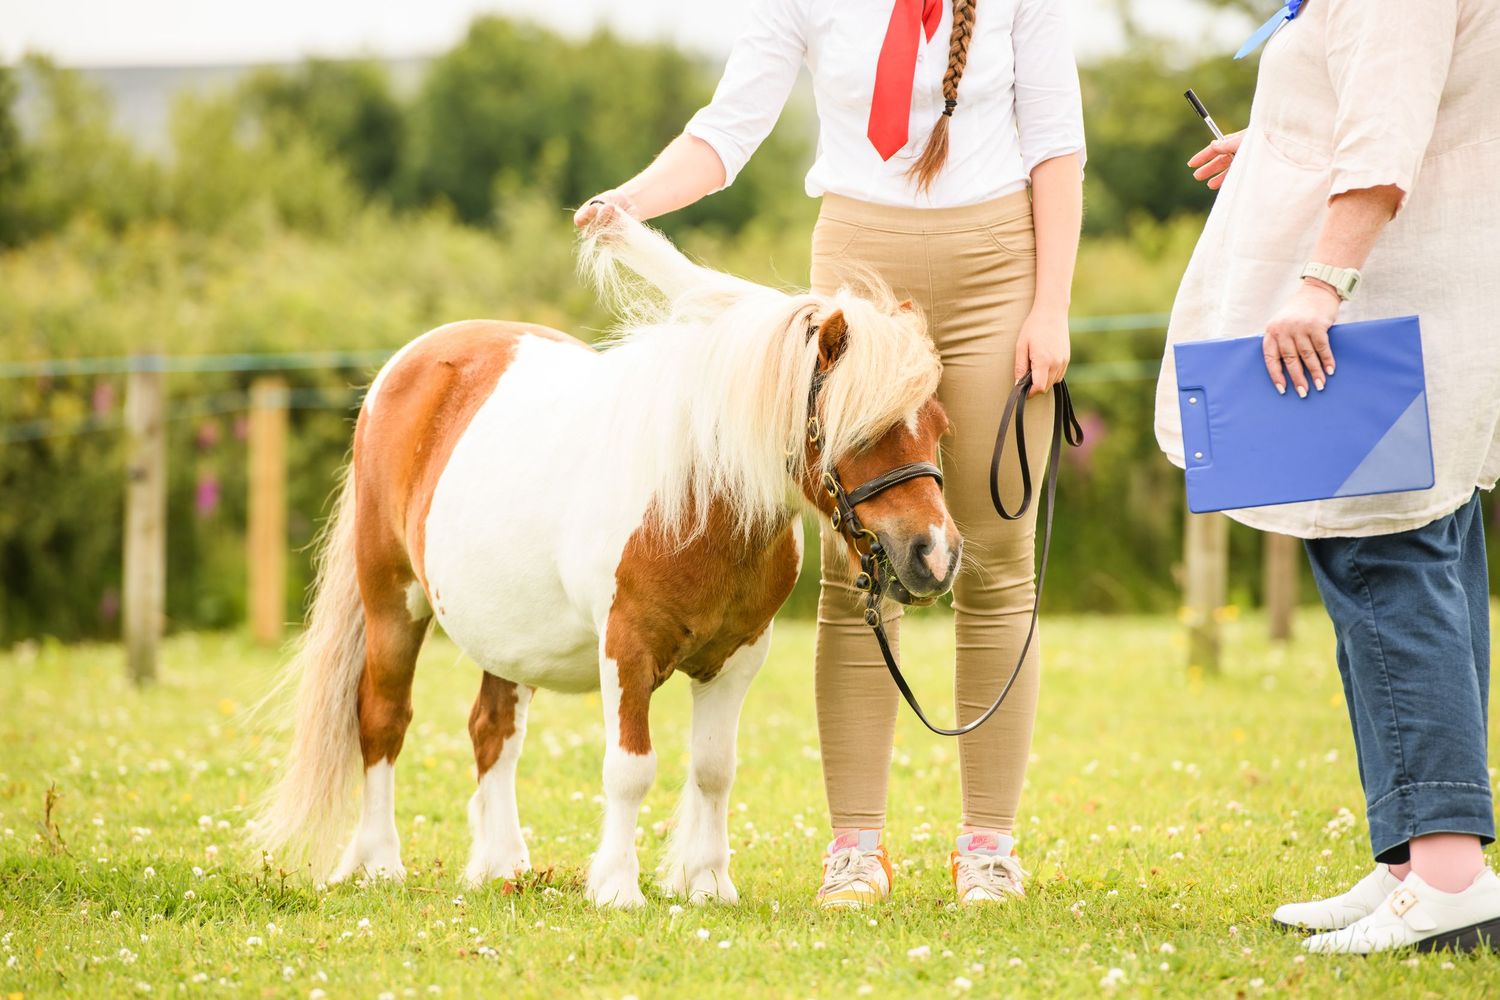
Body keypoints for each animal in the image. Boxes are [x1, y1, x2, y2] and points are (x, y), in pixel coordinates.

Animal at [252, 216, 962, 908]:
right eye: (861, 431)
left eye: (939, 426)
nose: (936, 554)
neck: (698, 500)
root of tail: (403, 370)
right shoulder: (627, 646)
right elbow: (630, 769)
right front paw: (618, 887)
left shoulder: (738, 657)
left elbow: (714, 768)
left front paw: (709, 883)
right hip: (391, 603)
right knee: (382, 719)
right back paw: (379, 863)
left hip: (505, 636)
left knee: (492, 730)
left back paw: (502, 866)